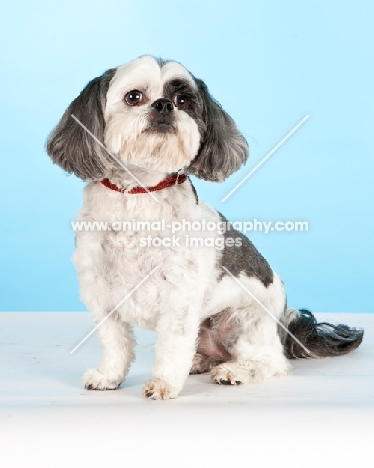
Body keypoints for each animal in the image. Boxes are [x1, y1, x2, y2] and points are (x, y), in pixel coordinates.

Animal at [45, 54, 364, 398]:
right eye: (134, 96)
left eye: (183, 101)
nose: (164, 106)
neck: (141, 193)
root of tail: (284, 325)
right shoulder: (100, 291)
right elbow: (115, 342)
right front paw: (109, 376)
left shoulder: (180, 294)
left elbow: (172, 345)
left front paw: (163, 384)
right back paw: (200, 361)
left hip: (242, 321)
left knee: (271, 362)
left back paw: (234, 370)